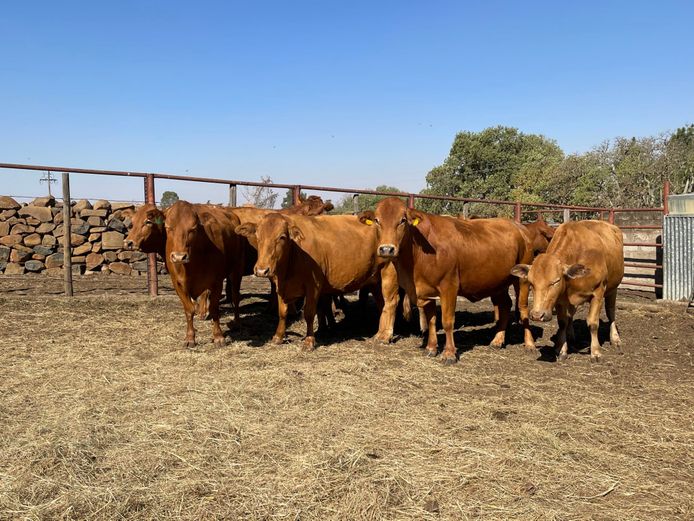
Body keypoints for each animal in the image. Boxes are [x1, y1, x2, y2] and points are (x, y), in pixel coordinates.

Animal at [163, 201, 246, 348]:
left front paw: (218, 336)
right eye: (168, 227)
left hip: (237, 269)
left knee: (236, 297)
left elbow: (214, 308)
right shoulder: (178, 284)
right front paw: (190, 337)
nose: (179, 257)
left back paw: (236, 323)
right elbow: (189, 310)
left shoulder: (217, 282)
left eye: (193, 228)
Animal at [235, 213, 398, 350]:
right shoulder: (280, 286)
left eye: (282, 237)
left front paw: (309, 341)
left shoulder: (313, 286)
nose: (261, 270)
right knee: (382, 303)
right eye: (257, 235)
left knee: (391, 302)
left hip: (388, 273)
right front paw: (278, 337)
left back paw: (385, 336)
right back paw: (380, 331)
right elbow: (282, 312)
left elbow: (308, 313)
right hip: (375, 281)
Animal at [359, 197, 535, 364]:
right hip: (498, 283)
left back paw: (529, 344)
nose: (386, 249)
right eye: (377, 220)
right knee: (505, 305)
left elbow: (447, 321)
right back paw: (497, 340)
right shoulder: (427, 290)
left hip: (522, 280)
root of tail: (519, 226)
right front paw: (431, 348)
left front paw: (449, 354)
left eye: (402, 220)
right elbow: (431, 320)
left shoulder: (449, 287)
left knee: (523, 308)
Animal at [510, 220, 624, 362]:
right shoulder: (560, 300)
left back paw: (615, 338)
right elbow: (562, 322)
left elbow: (593, 323)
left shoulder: (598, 292)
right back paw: (569, 335)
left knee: (611, 312)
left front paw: (596, 352)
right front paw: (562, 349)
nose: (537, 315)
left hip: (612, 289)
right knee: (570, 315)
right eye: (531, 283)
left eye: (556, 281)